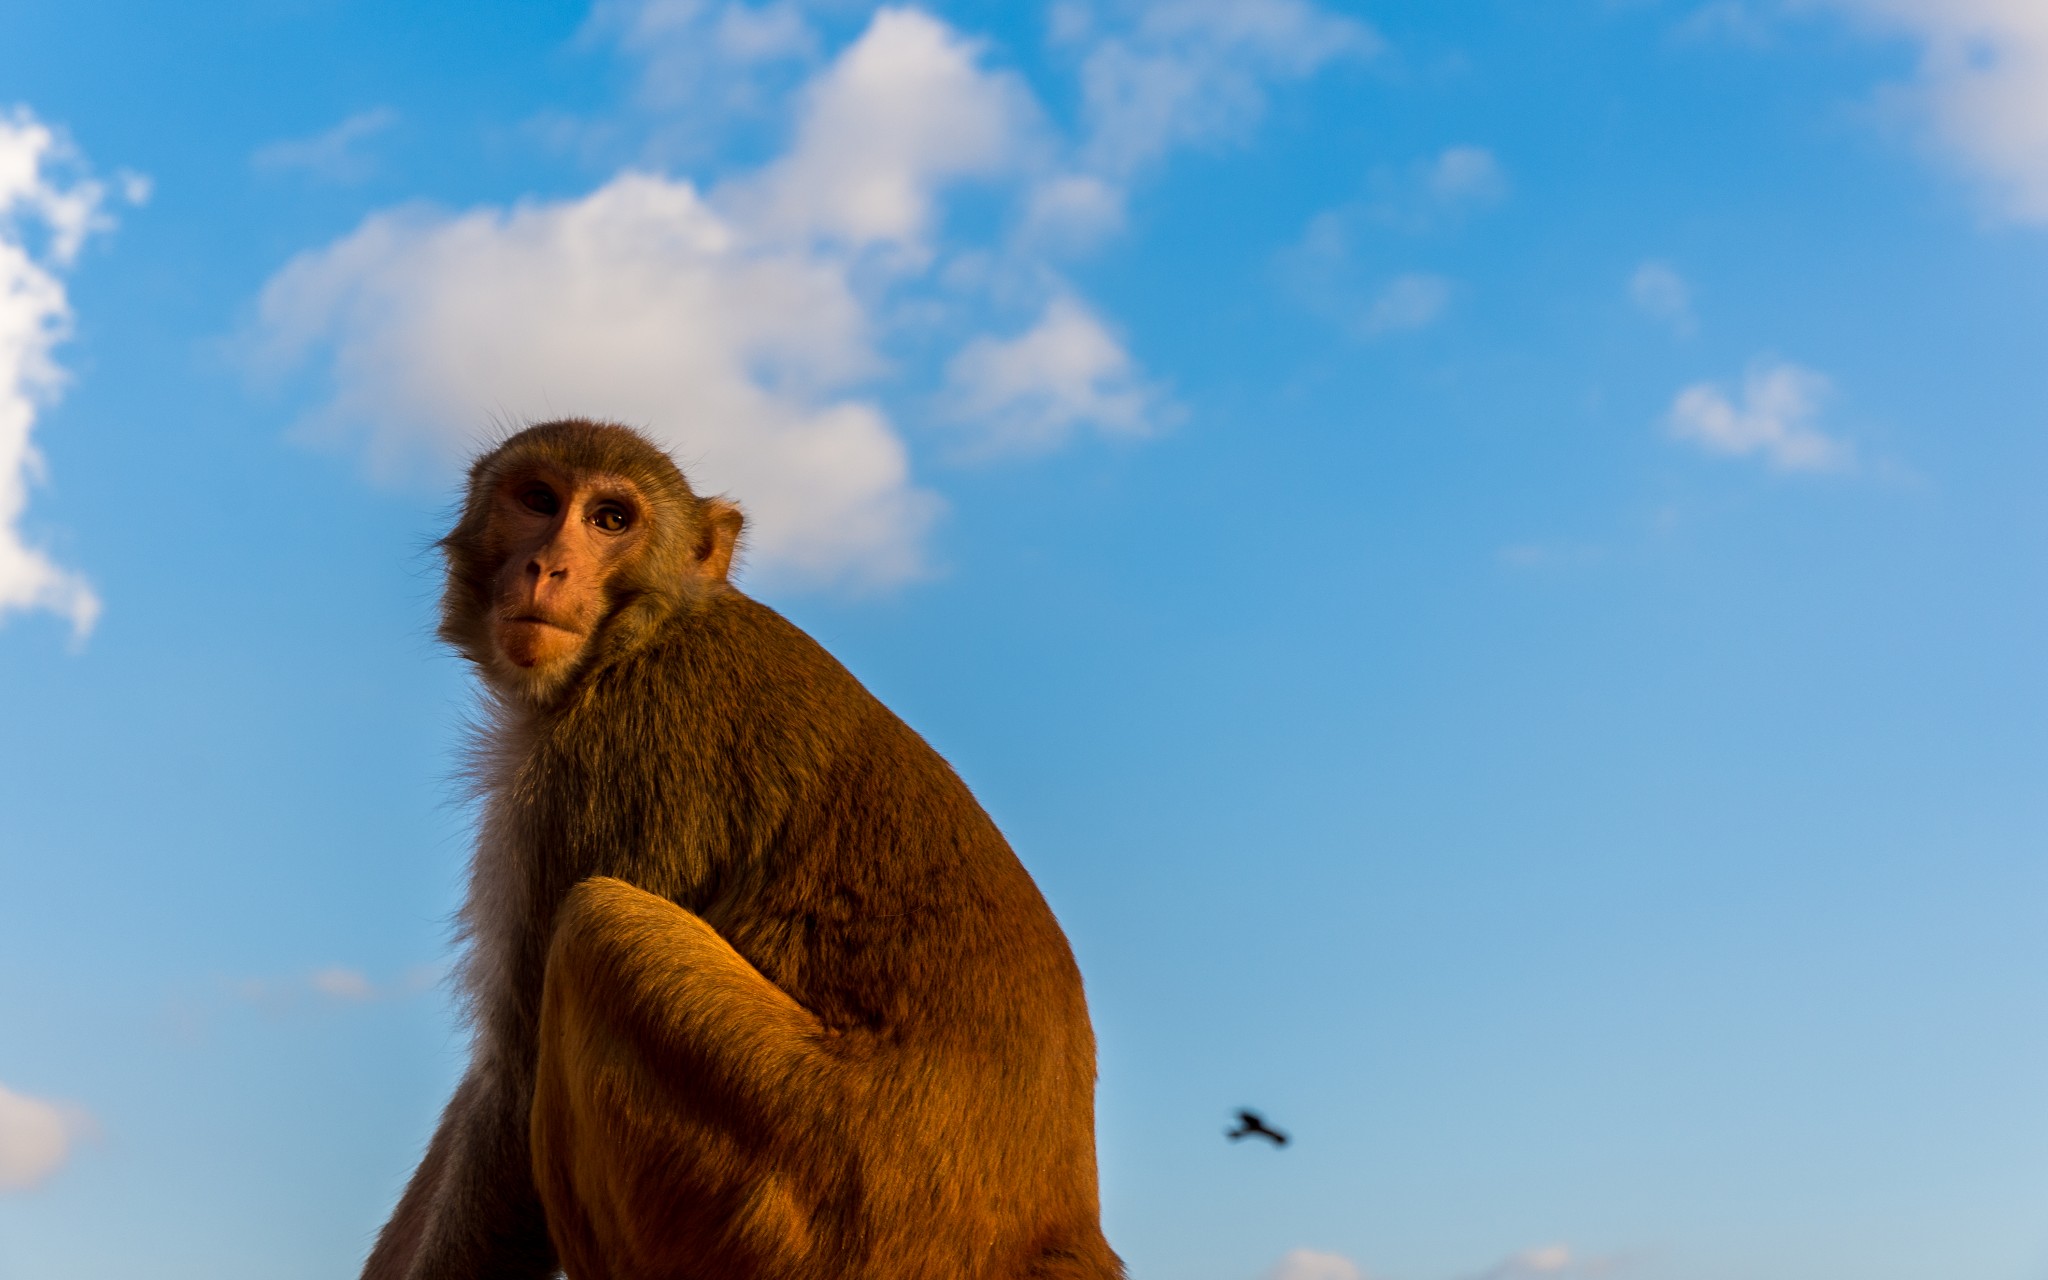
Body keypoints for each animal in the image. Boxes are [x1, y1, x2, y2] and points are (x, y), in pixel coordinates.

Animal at [358, 419, 1114, 1277]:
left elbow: (512, 1085)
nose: (547, 566)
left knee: (597, 927)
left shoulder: (610, 762)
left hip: (793, 1193)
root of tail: (1053, 1235)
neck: (639, 634)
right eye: (538, 499)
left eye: (611, 520)